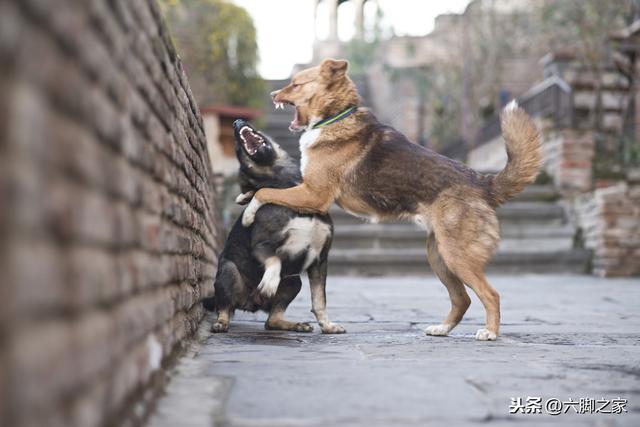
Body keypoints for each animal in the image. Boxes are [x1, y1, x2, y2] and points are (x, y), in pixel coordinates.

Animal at [204, 119, 344, 334]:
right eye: (237, 152)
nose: (236, 122)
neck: (293, 195)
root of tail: (251, 303)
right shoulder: (262, 245)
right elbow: (275, 259)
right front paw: (269, 282)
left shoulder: (320, 260)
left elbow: (319, 299)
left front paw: (328, 326)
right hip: (229, 271)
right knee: (224, 306)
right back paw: (221, 322)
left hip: (293, 281)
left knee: (272, 320)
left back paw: (295, 325)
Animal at [242, 59, 544, 342]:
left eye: (296, 84)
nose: (272, 94)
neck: (335, 116)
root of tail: (483, 183)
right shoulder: (307, 191)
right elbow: (264, 190)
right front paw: (244, 199)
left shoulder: (314, 195)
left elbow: (264, 192)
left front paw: (248, 213)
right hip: (438, 256)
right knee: (463, 299)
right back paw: (442, 329)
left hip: (457, 256)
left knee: (491, 295)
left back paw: (490, 332)